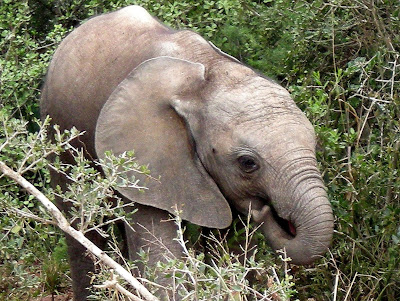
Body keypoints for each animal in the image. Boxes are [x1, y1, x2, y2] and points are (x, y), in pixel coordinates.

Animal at [40, 5, 334, 300]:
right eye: (248, 163)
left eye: (314, 146)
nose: (266, 211)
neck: (205, 76)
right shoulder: (143, 158)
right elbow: (161, 256)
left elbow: (229, 250)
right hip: (58, 129)